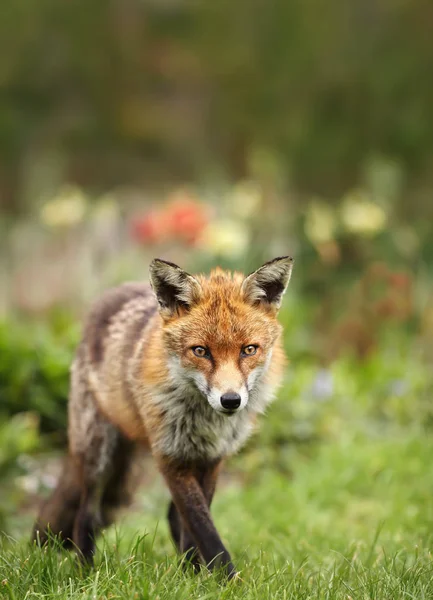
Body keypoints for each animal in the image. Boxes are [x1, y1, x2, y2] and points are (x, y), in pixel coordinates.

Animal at [32, 255, 292, 580]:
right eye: (200, 351)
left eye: (249, 350)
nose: (230, 400)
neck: (205, 423)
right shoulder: (170, 457)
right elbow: (204, 529)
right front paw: (226, 580)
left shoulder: (211, 459)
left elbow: (195, 524)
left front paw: (196, 577)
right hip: (99, 457)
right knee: (85, 514)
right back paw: (85, 572)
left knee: (170, 515)